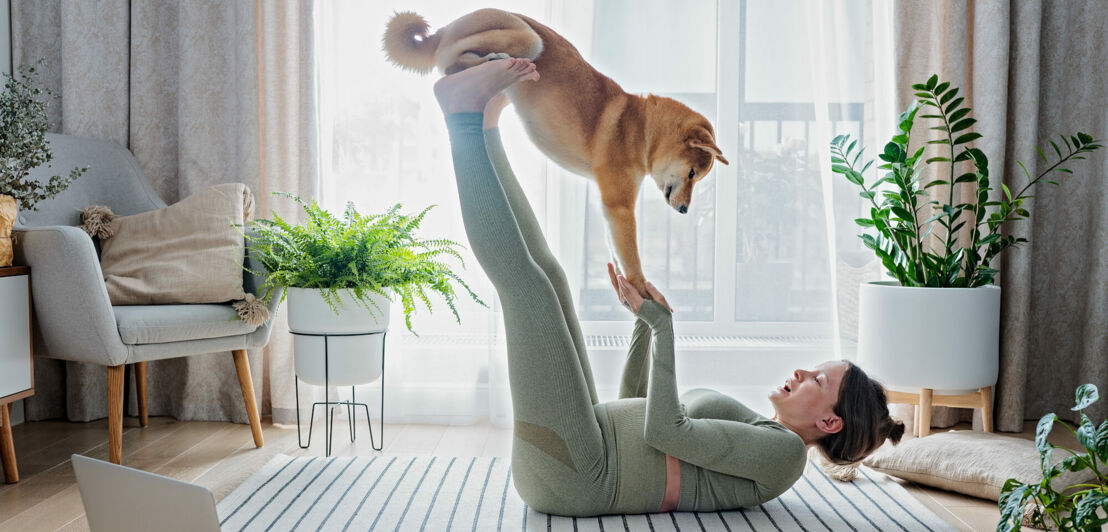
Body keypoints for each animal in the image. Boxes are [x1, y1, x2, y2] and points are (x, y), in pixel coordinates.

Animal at [381, 7, 726, 294]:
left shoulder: (611, 209)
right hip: (527, 37)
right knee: (452, 62)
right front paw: (643, 293)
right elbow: (632, 258)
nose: (685, 210)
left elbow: (617, 253)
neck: (640, 128)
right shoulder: (619, 206)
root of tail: (446, 26)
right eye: (692, 173)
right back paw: (495, 62)